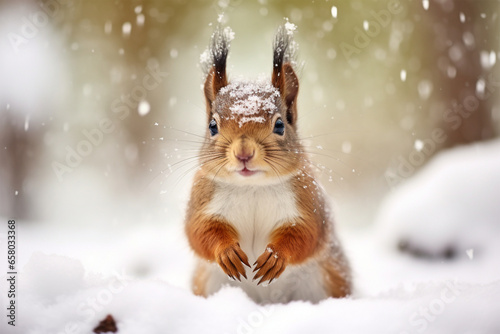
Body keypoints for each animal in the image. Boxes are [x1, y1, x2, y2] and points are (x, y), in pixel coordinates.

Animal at [185, 23, 352, 304]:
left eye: (280, 125)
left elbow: (306, 234)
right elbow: (199, 231)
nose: (243, 153)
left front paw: (275, 256)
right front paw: (227, 252)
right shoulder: (202, 200)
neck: (252, 187)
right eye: (213, 126)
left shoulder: (307, 201)